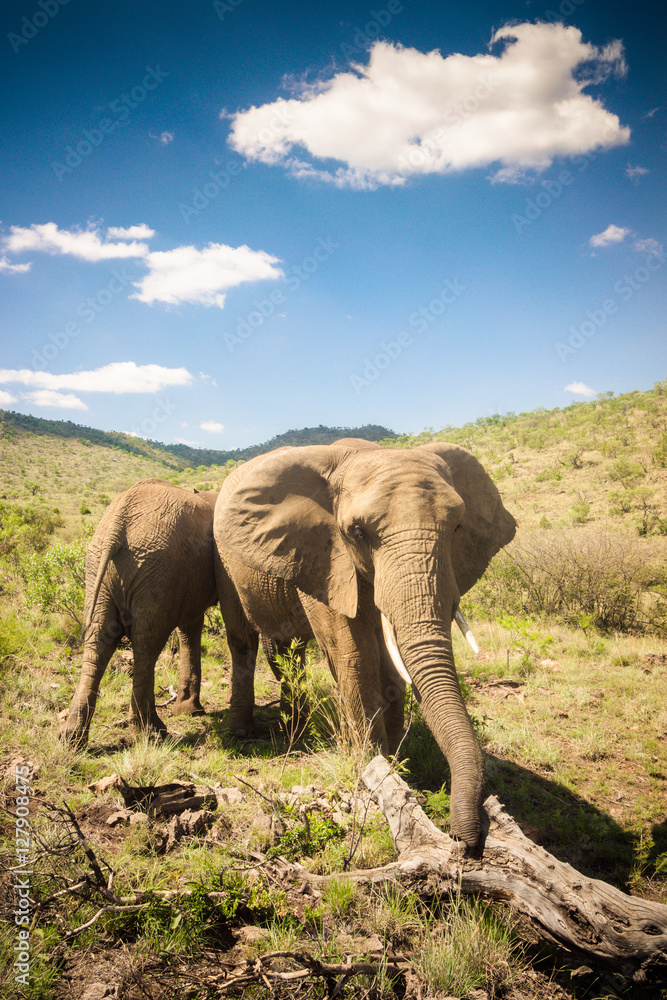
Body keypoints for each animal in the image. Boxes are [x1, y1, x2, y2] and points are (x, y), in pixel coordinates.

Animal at [62, 478, 220, 746]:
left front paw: (190, 711)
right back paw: (152, 731)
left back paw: (72, 738)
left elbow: (190, 626)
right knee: (147, 643)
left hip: (101, 568)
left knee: (99, 640)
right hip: (156, 569)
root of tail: (118, 524)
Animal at [213, 443, 516, 847]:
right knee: (244, 639)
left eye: (457, 527)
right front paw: (376, 770)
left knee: (286, 646)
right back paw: (250, 732)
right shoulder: (327, 558)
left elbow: (391, 663)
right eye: (357, 532)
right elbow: (356, 655)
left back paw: (297, 728)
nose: (467, 839)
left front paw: (398, 767)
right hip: (226, 560)